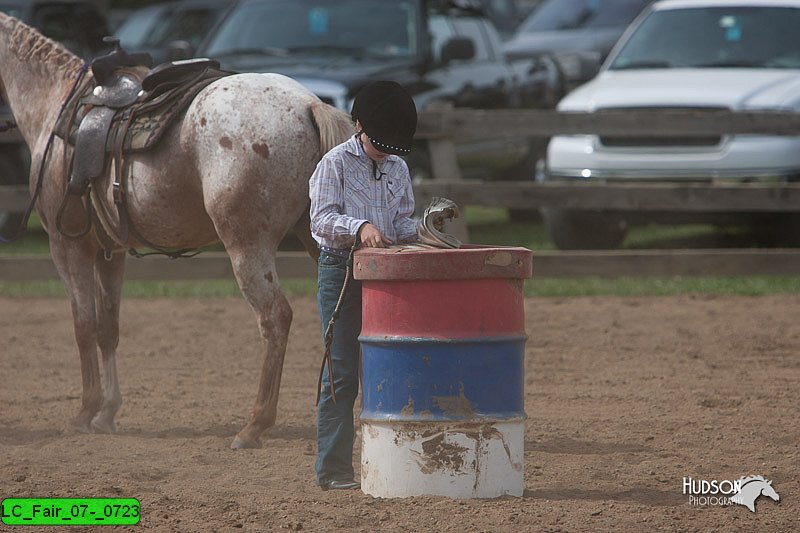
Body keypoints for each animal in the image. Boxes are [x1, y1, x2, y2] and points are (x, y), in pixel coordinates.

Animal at [0, 12, 354, 446]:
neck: (53, 102)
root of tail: (307, 104)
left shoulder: (68, 248)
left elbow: (83, 327)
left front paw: (85, 413)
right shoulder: (110, 253)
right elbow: (107, 329)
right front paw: (107, 413)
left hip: (248, 246)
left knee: (275, 318)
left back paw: (254, 425)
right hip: (319, 239)